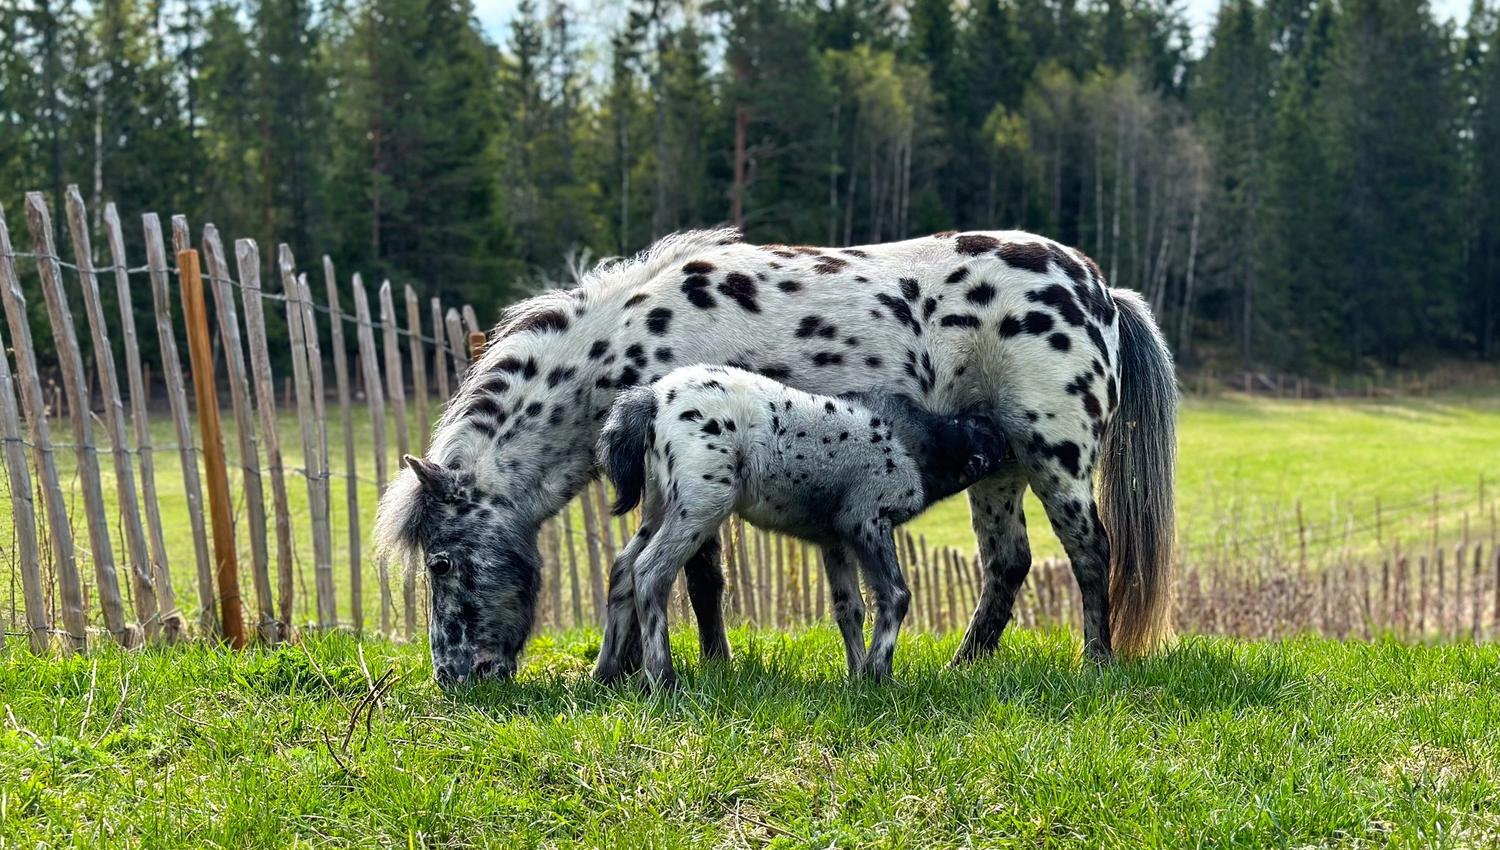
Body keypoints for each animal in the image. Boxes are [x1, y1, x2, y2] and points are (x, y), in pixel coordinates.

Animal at [596, 364, 1009, 688]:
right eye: (984, 431)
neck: (923, 444)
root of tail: (653, 398)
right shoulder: (867, 520)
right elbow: (895, 595)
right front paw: (878, 674)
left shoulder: (836, 539)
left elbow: (849, 606)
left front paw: (856, 676)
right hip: (701, 505)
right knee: (650, 571)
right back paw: (662, 679)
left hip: (660, 505)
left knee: (622, 568)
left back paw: (606, 674)